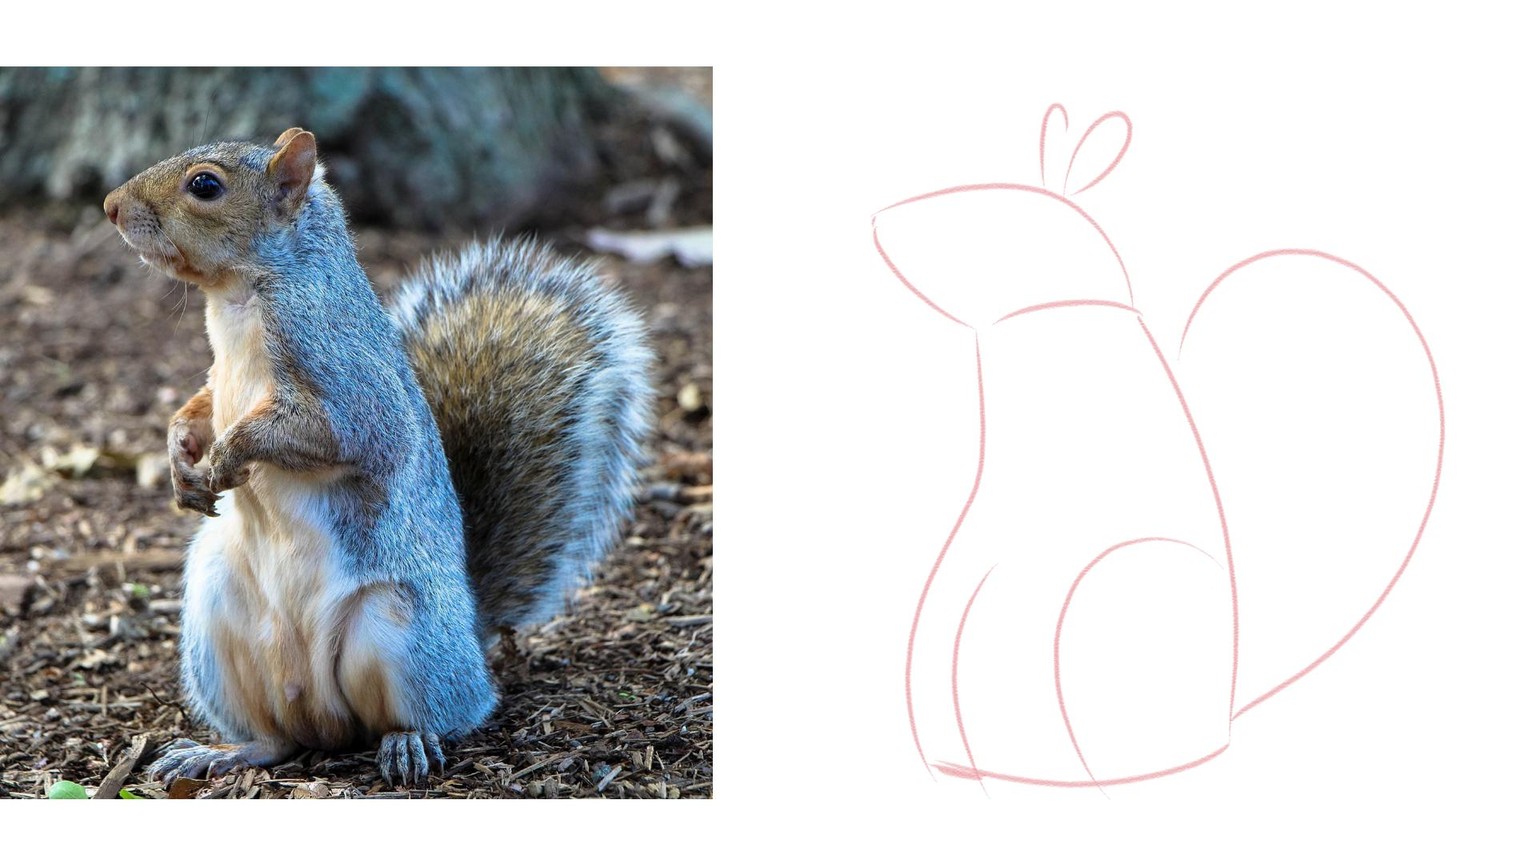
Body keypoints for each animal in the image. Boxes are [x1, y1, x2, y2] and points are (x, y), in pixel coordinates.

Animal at [101, 128, 653, 786]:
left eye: (205, 185)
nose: (110, 206)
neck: (238, 298)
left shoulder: (344, 376)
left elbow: (334, 434)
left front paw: (224, 457)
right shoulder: (219, 376)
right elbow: (201, 407)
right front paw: (181, 457)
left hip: (399, 631)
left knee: (431, 715)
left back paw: (407, 743)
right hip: (215, 618)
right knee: (277, 739)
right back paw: (224, 752)